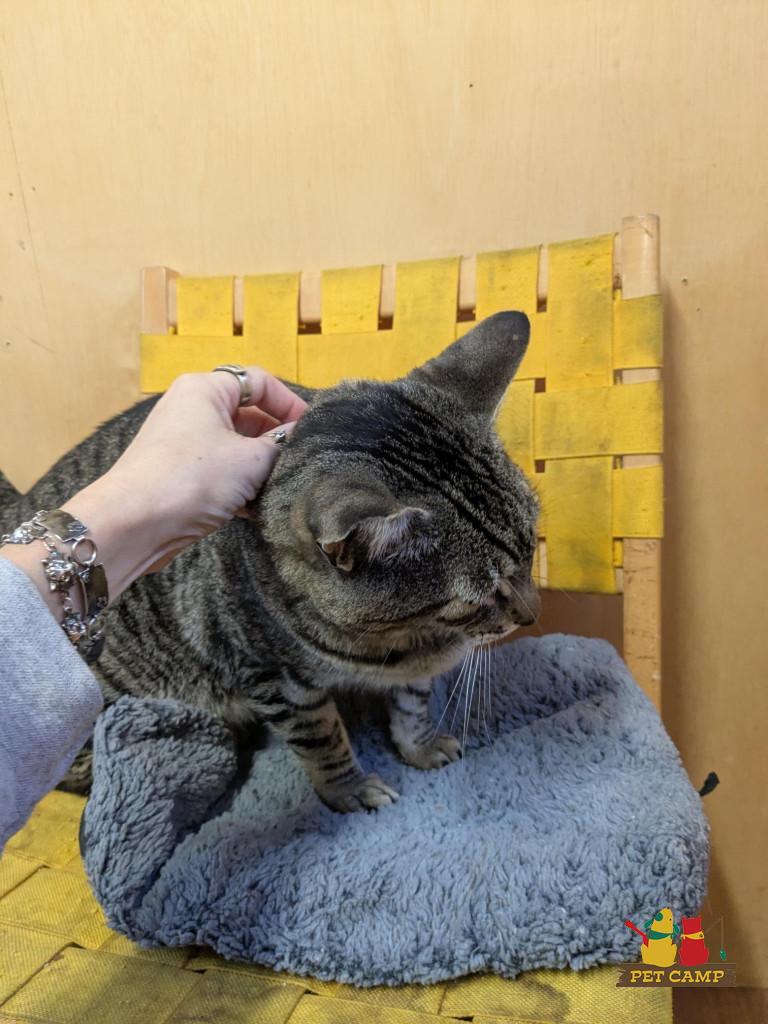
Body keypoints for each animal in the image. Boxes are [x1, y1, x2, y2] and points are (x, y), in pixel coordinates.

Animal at [0, 311, 540, 812]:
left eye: (532, 547)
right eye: (484, 594)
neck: (406, 640)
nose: (532, 615)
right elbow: (324, 741)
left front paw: (421, 747)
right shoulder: (275, 681)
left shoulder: (413, 673)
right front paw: (349, 790)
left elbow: (413, 705)